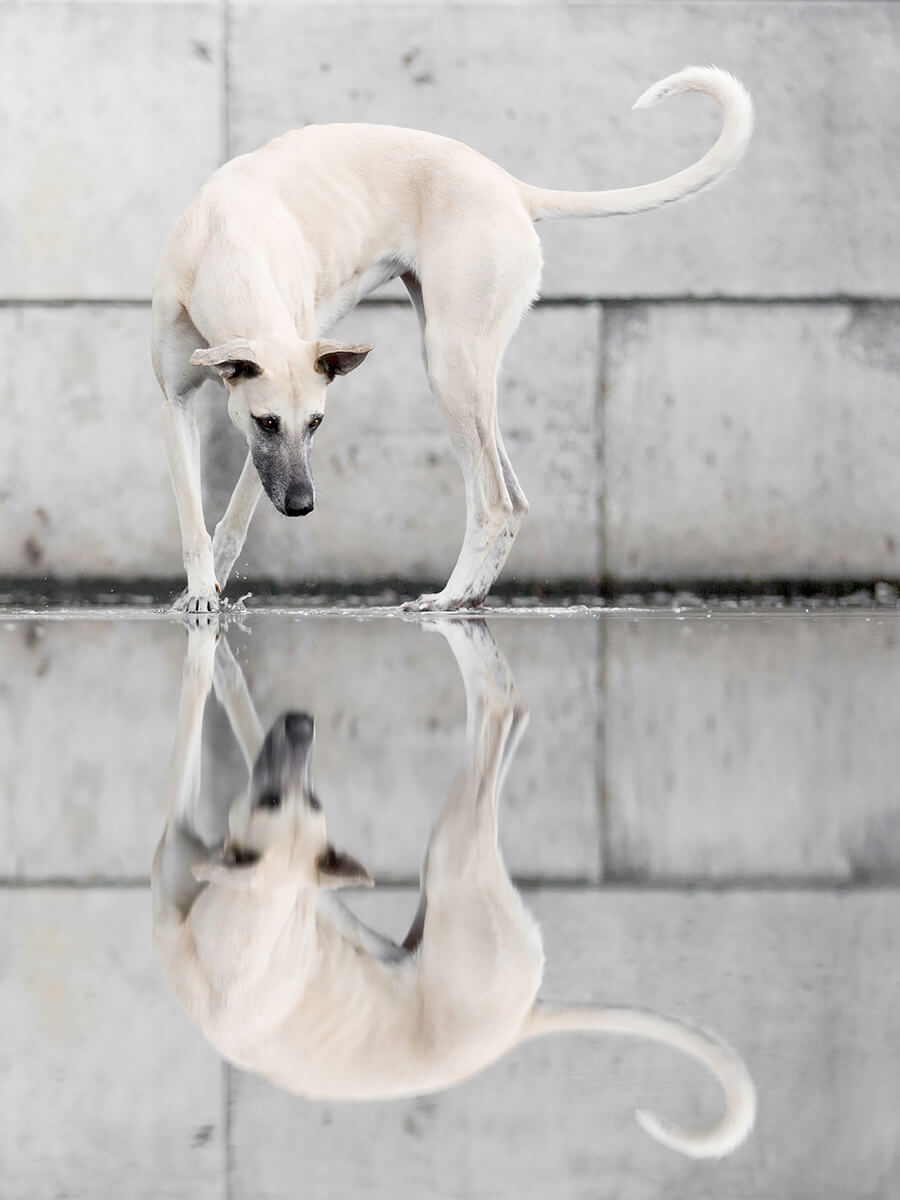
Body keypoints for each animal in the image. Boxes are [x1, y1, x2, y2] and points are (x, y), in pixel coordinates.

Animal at [151, 614, 758, 1156]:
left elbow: (194, 716)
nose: (302, 723)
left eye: (311, 801)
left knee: (502, 710)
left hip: (452, 859)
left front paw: (214, 656)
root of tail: (519, 1025)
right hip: (449, 870)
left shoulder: (179, 841)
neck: (246, 914)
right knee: (512, 726)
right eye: (276, 799)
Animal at [153, 64, 753, 609]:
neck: (225, 243)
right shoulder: (179, 403)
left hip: (449, 365)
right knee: (516, 500)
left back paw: (449, 596)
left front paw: (210, 591)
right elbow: (193, 511)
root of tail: (510, 187)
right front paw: (202, 591)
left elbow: (234, 514)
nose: (303, 506)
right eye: (267, 422)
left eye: (317, 422)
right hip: (468, 375)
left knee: (493, 501)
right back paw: (472, 595)